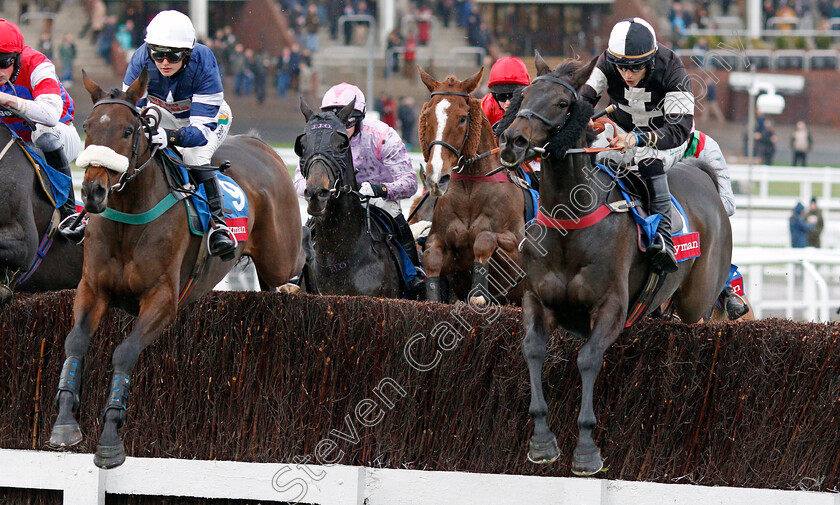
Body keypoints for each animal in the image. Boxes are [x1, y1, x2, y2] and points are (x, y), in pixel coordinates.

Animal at [46, 69, 308, 466]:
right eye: (88, 126)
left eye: (128, 130)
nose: (92, 192)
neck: (130, 219)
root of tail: (262, 146)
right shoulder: (92, 288)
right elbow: (74, 342)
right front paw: (64, 422)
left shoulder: (162, 300)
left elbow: (124, 353)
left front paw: (110, 437)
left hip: (281, 254)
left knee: (298, 261)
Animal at [418, 66, 528, 304]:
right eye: (427, 117)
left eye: (462, 118)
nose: (436, 177)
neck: (470, 191)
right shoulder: (445, 249)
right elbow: (431, 258)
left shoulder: (516, 255)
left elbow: (484, 238)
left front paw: (478, 293)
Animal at [498, 57, 736, 474]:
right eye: (523, 96)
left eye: (562, 103)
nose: (514, 141)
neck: (570, 223)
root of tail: (702, 174)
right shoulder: (537, 301)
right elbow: (532, 350)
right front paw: (542, 442)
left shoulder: (610, 306)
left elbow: (588, 359)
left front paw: (587, 450)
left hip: (697, 301)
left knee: (708, 317)